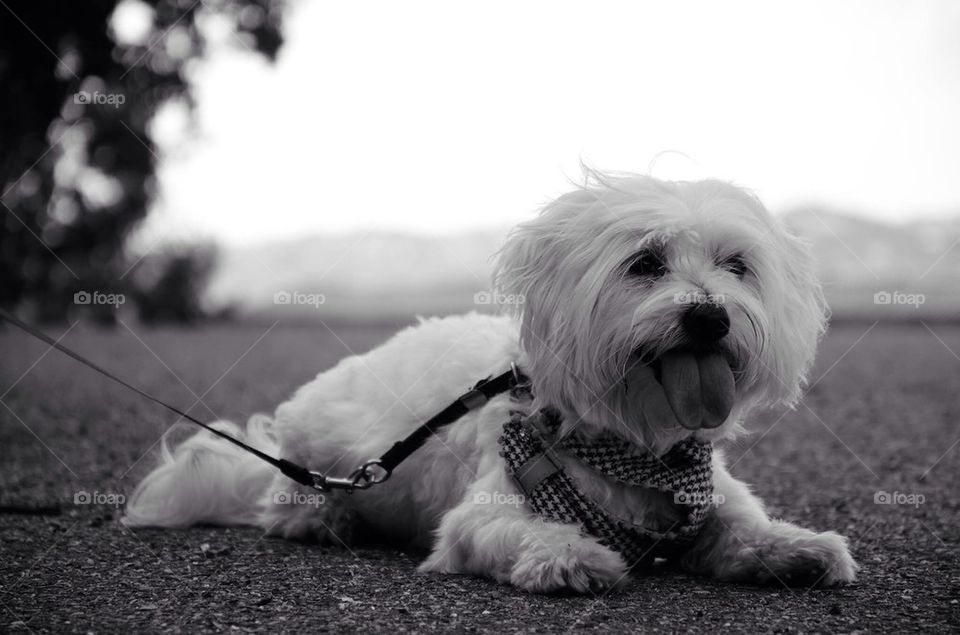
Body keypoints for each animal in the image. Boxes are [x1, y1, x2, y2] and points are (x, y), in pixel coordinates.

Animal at [124, 171, 860, 592]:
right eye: (645, 262)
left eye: (737, 264)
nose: (709, 316)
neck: (633, 445)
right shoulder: (477, 517)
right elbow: (521, 533)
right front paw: (572, 556)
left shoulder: (716, 503)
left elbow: (746, 531)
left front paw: (799, 548)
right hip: (317, 453)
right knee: (288, 504)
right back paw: (326, 517)